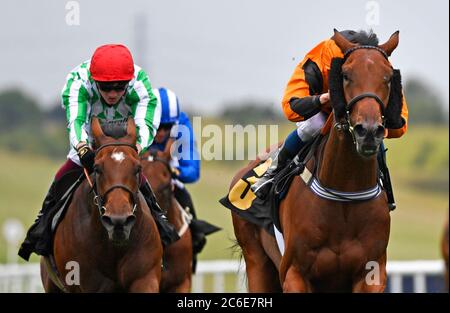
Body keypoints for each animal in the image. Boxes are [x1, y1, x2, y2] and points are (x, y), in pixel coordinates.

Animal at [230, 30, 402, 292]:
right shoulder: (295, 273)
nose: (369, 131)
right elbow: (293, 102)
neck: (344, 192)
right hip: (257, 260)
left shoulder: (371, 275)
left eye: (388, 77)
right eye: (345, 75)